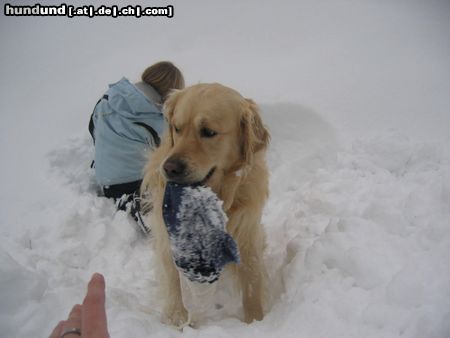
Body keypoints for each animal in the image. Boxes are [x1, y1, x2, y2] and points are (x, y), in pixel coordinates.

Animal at [141, 83, 268, 326]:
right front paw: (177, 318)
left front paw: (256, 321)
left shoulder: (247, 233)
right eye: (177, 128)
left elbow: (252, 280)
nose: (169, 168)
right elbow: (172, 279)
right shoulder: (167, 237)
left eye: (208, 132)